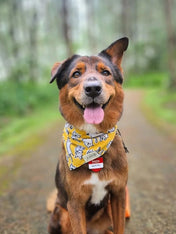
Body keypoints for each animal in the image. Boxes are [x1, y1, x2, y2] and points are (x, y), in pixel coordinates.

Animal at [48, 37, 129, 233]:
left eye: (106, 72)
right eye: (76, 74)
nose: (93, 88)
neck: (92, 140)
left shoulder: (119, 194)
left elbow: (120, 227)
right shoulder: (75, 204)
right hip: (61, 212)